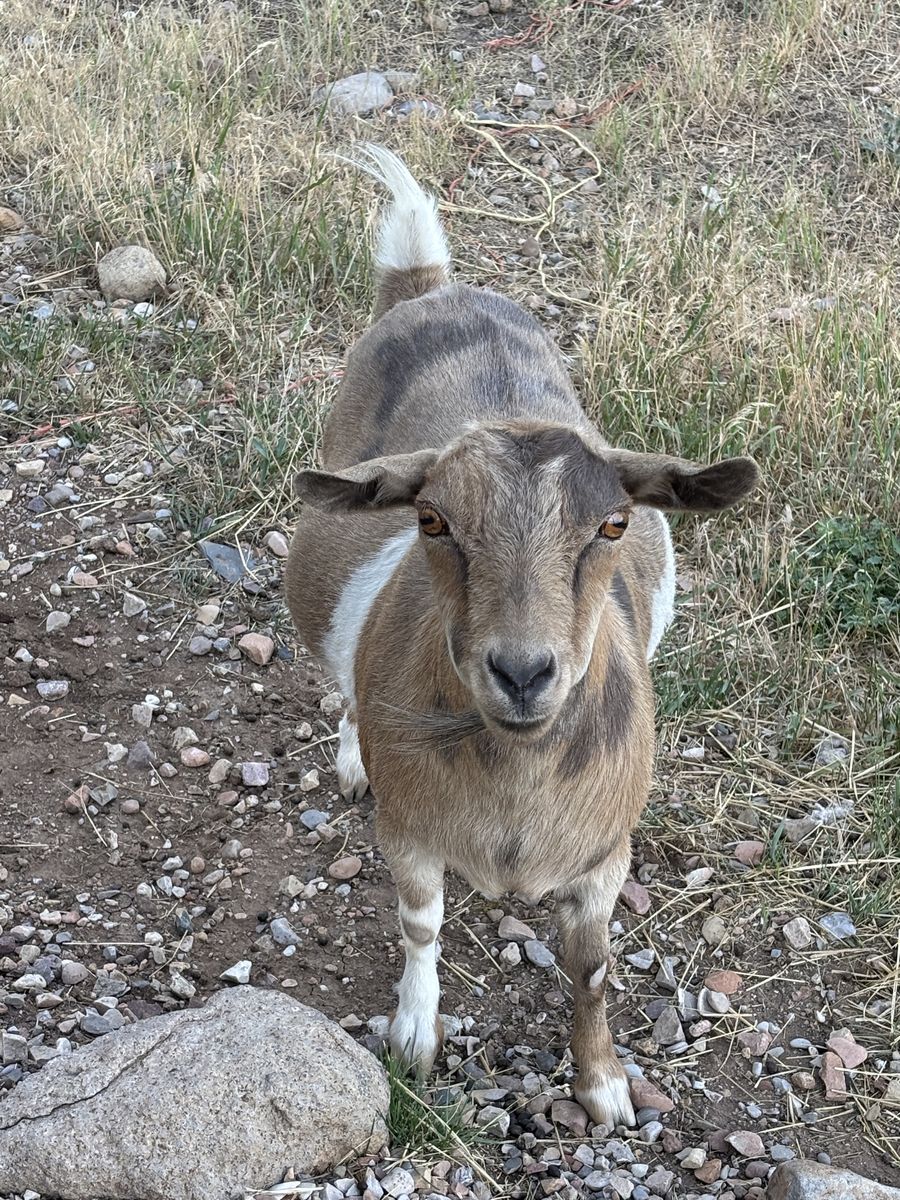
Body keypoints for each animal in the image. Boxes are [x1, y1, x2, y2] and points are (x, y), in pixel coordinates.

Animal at [285, 145, 758, 1128]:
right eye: (432, 520)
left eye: (614, 524)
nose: (523, 672)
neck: (514, 797)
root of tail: (432, 287)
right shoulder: (411, 831)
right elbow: (420, 922)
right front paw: (414, 1039)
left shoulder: (605, 857)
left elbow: (592, 965)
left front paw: (603, 1085)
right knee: (340, 679)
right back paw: (350, 755)